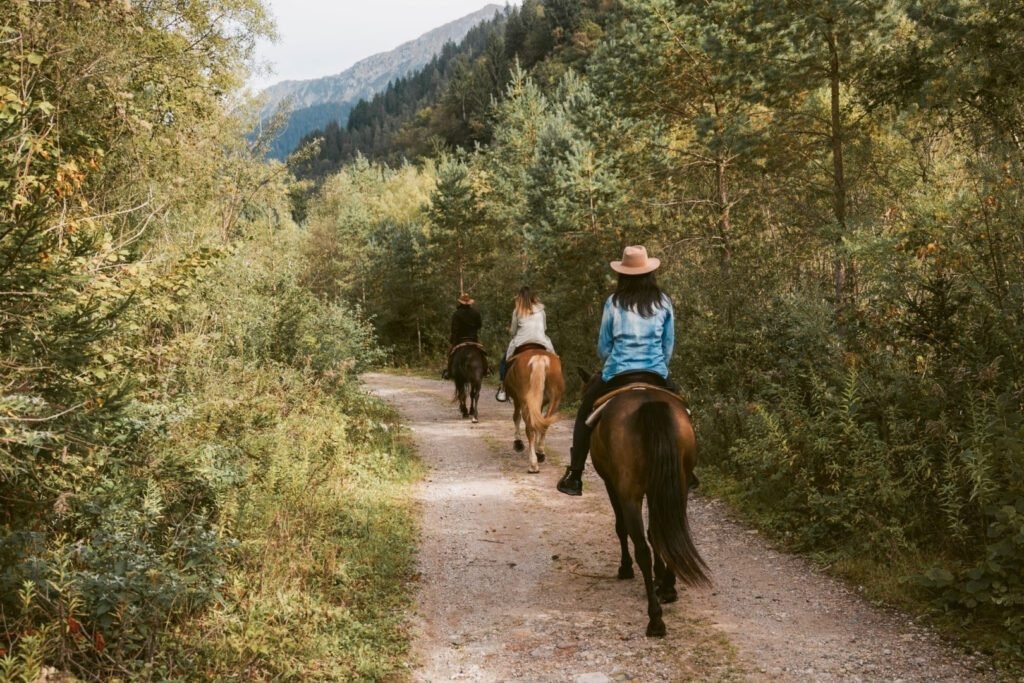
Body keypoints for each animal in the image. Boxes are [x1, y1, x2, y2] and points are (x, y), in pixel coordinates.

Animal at [505, 344, 569, 473]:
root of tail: (539, 358)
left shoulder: (517, 400)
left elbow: (516, 417)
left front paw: (518, 443)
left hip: (524, 401)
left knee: (529, 428)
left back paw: (533, 464)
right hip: (555, 399)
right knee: (544, 424)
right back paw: (540, 453)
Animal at [585, 374, 712, 634]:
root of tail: (648, 402)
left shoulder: (612, 485)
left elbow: (622, 528)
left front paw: (626, 569)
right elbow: (656, 534)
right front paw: (661, 580)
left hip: (630, 494)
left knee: (641, 548)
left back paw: (655, 620)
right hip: (677, 487)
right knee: (670, 532)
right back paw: (668, 590)